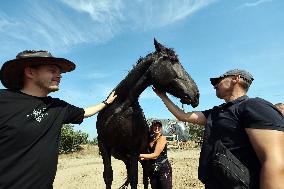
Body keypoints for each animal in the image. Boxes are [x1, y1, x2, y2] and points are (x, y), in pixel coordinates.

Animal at [95, 39, 200, 188]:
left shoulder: (133, 150)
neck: (119, 109)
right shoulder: (104, 146)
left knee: (145, 176)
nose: (196, 95)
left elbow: (135, 179)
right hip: (120, 154)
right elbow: (108, 176)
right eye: (173, 60)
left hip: (140, 155)